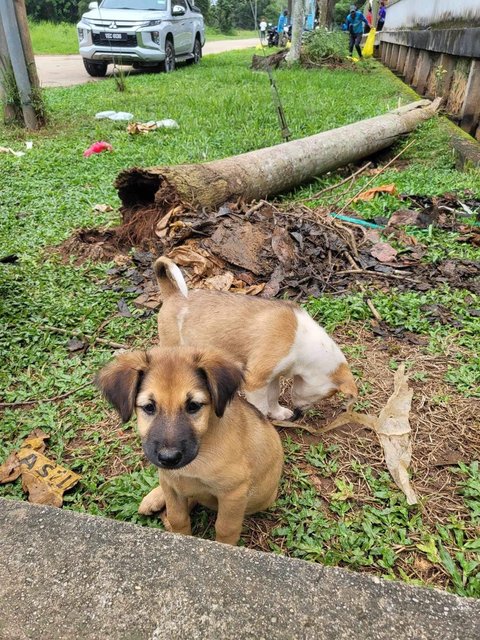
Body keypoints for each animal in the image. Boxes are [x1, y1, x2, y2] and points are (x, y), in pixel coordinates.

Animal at [98, 344, 284, 544]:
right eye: (149, 407)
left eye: (193, 405)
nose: (169, 458)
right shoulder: (172, 483)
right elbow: (177, 517)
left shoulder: (234, 492)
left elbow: (226, 528)